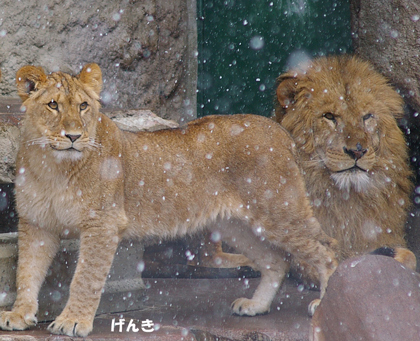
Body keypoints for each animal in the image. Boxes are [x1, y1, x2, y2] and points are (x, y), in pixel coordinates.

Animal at [0, 63, 336, 334]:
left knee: (328, 250)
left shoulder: (102, 223)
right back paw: (256, 306)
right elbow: (26, 272)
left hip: (280, 211)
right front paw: (19, 314)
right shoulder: (36, 223)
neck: (52, 167)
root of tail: (280, 131)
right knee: (276, 260)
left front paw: (72, 321)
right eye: (52, 105)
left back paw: (323, 305)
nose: (73, 136)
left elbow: (85, 277)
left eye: (83, 106)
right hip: (236, 224)